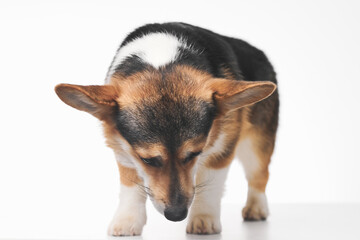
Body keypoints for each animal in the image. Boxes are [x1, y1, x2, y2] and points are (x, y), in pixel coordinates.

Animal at [54, 22, 278, 236]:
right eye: (147, 160)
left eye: (194, 154)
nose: (176, 215)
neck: (161, 60)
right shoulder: (124, 150)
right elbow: (130, 185)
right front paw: (126, 221)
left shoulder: (221, 151)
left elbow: (211, 186)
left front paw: (203, 219)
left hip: (255, 147)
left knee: (259, 175)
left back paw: (256, 208)